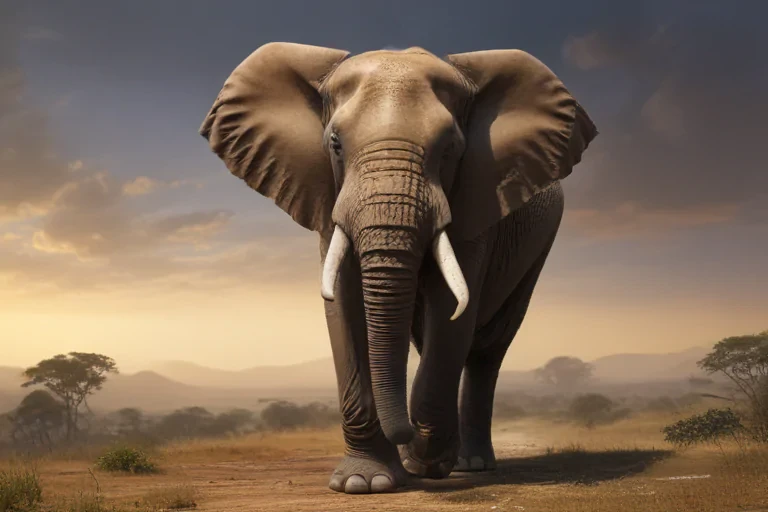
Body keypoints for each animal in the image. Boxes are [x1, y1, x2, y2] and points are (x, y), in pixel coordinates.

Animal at [200, 42, 597, 494]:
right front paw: (364, 482)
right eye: (335, 144)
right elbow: (345, 305)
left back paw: (469, 462)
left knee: (487, 348)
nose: (406, 436)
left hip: (538, 248)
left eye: (450, 148)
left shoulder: (476, 201)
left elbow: (451, 308)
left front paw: (424, 462)